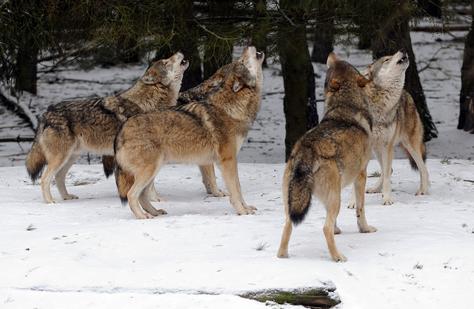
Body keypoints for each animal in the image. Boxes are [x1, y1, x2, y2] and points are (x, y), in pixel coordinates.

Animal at [25, 51, 188, 203]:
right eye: (166, 62)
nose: (179, 52)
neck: (149, 103)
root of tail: (47, 112)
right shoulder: (147, 154)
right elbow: (150, 183)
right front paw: (156, 199)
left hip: (71, 156)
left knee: (59, 176)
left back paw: (66, 197)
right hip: (60, 157)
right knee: (45, 178)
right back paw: (50, 201)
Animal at [113, 46, 264, 219]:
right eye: (242, 61)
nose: (247, 46)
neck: (233, 106)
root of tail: (122, 128)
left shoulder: (228, 161)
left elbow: (238, 188)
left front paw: (246, 208)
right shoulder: (227, 161)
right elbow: (235, 190)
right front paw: (242, 211)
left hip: (154, 169)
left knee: (143, 195)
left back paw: (155, 212)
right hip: (150, 170)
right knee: (132, 195)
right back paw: (143, 216)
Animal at [276, 52, 376, 260]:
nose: (331, 54)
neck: (345, 106)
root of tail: (305, 149)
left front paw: (339, 230)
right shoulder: (361, 175)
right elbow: (360, 209)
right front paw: (365, 229)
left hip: (294, 204)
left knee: (288, 226)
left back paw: (283, 256)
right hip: (335, 198)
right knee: (325, 228)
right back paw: (338, 257)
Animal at [356, 51, 430, 205]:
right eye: (386, 60)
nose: (403, 50)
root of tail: (406, 93)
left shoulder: (387, 146)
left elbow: (387, 179)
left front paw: (387, 199)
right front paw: (354, 203)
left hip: (410, 146)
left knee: (423, 169)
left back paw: (422, 191)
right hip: (377, 149)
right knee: (388, 170)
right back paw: (375, 189)